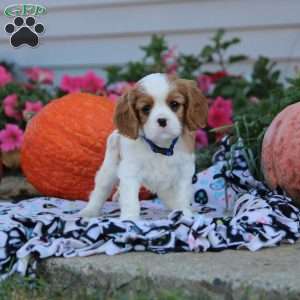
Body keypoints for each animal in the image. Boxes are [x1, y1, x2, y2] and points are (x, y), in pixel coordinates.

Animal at [79, 73, 209, 220]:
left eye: (174, 104)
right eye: (146, 109)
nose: (162, 120)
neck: (160, 146)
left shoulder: (184, 171)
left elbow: (182, 197)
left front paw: (183, 214)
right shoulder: (129, 172)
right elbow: (130, 200)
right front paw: (129, 219)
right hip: (109, 169)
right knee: (100, 190)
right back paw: (89, 211)